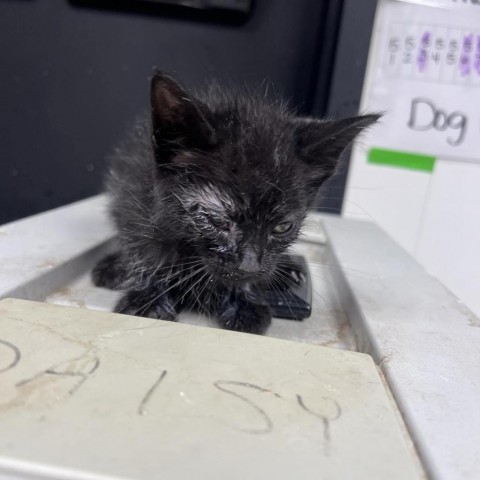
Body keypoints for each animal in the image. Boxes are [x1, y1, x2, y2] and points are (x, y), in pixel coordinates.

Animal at [93, 71, 378, 334]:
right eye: (217, 221)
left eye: (282, 228)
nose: (249, 267)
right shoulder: (135, 194)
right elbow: (144, 244)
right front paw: (150, 296)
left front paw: (243, 300)